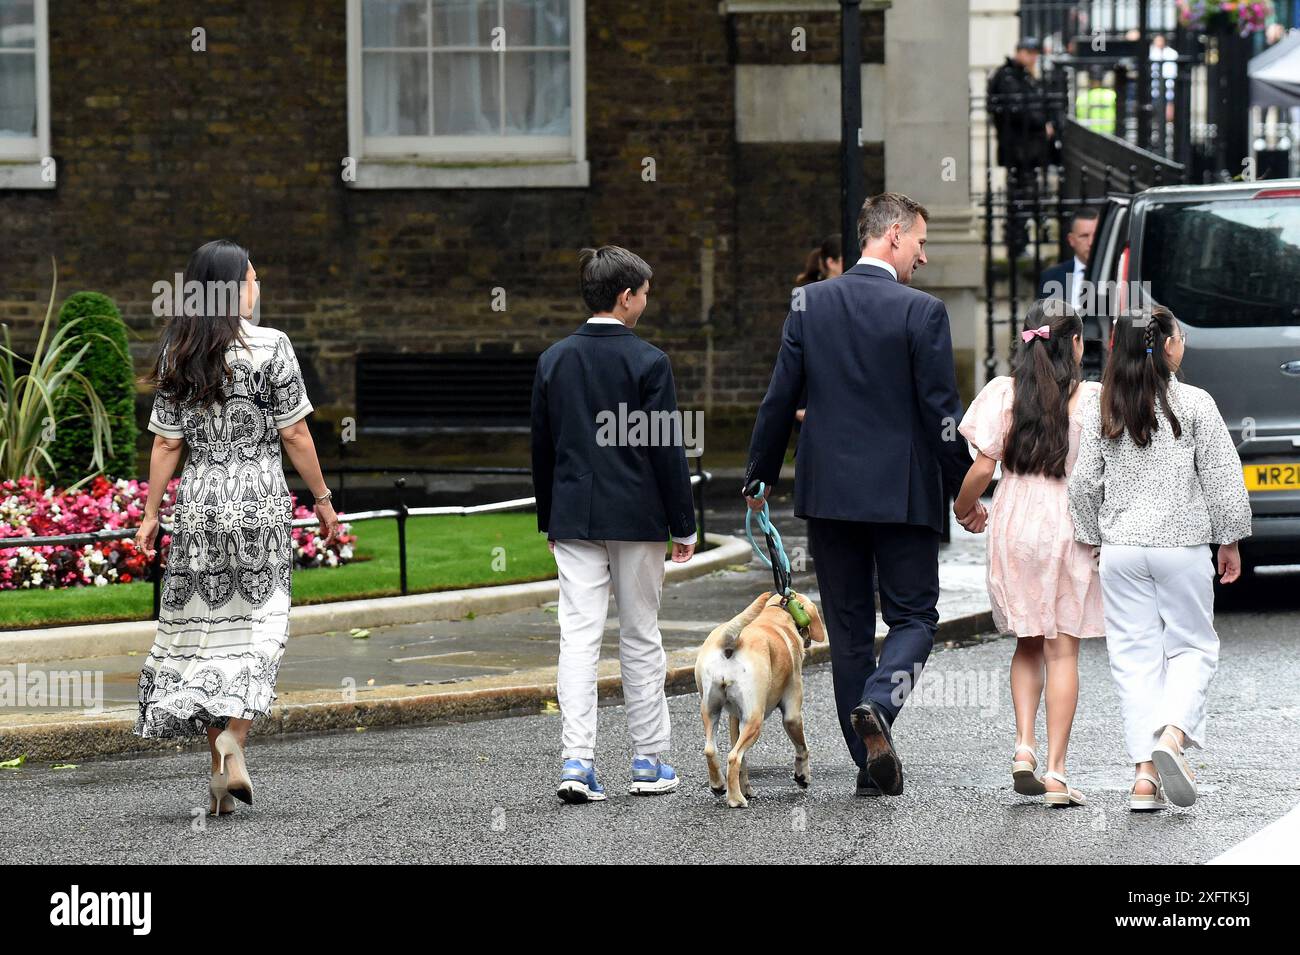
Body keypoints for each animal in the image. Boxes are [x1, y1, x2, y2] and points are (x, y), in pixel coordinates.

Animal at [696, 589, 826, 805]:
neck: (776, 616)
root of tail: (731, 641)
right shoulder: (792, 715)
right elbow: (802, 747)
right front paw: (803, 776)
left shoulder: (735, 718)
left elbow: (744, 764)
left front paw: (746, 787)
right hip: (754, 720)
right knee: (734, 757)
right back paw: (736, 799)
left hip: (711, 710)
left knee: (711, 750)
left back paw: (719, 785)